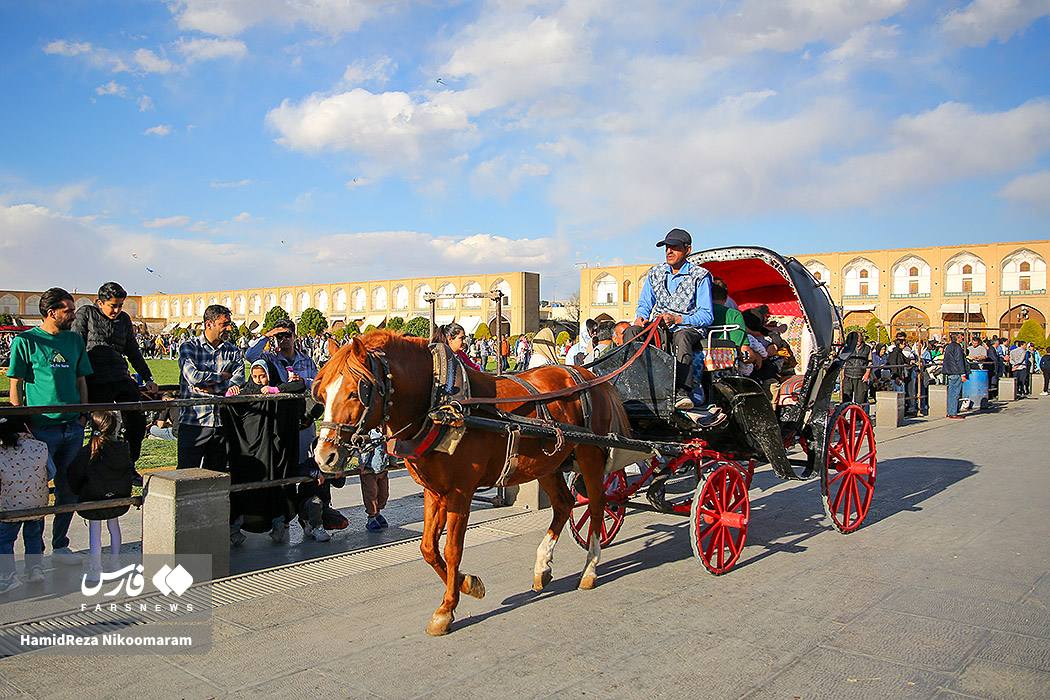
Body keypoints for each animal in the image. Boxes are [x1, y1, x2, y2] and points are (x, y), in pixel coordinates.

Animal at [306, 331, 625, 638]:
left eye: (356, 391)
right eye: (322, 393)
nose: (324, 456)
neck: (438, 405)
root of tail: (589, 375)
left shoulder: (461, 492)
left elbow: (452, 550)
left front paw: (446, 610)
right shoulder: (434, 491)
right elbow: (427, 548)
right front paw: (468, 583)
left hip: (590, 455)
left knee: (597, 504)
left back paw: (590, 568)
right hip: (547, 463)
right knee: (563, 504)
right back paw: (542, 566)